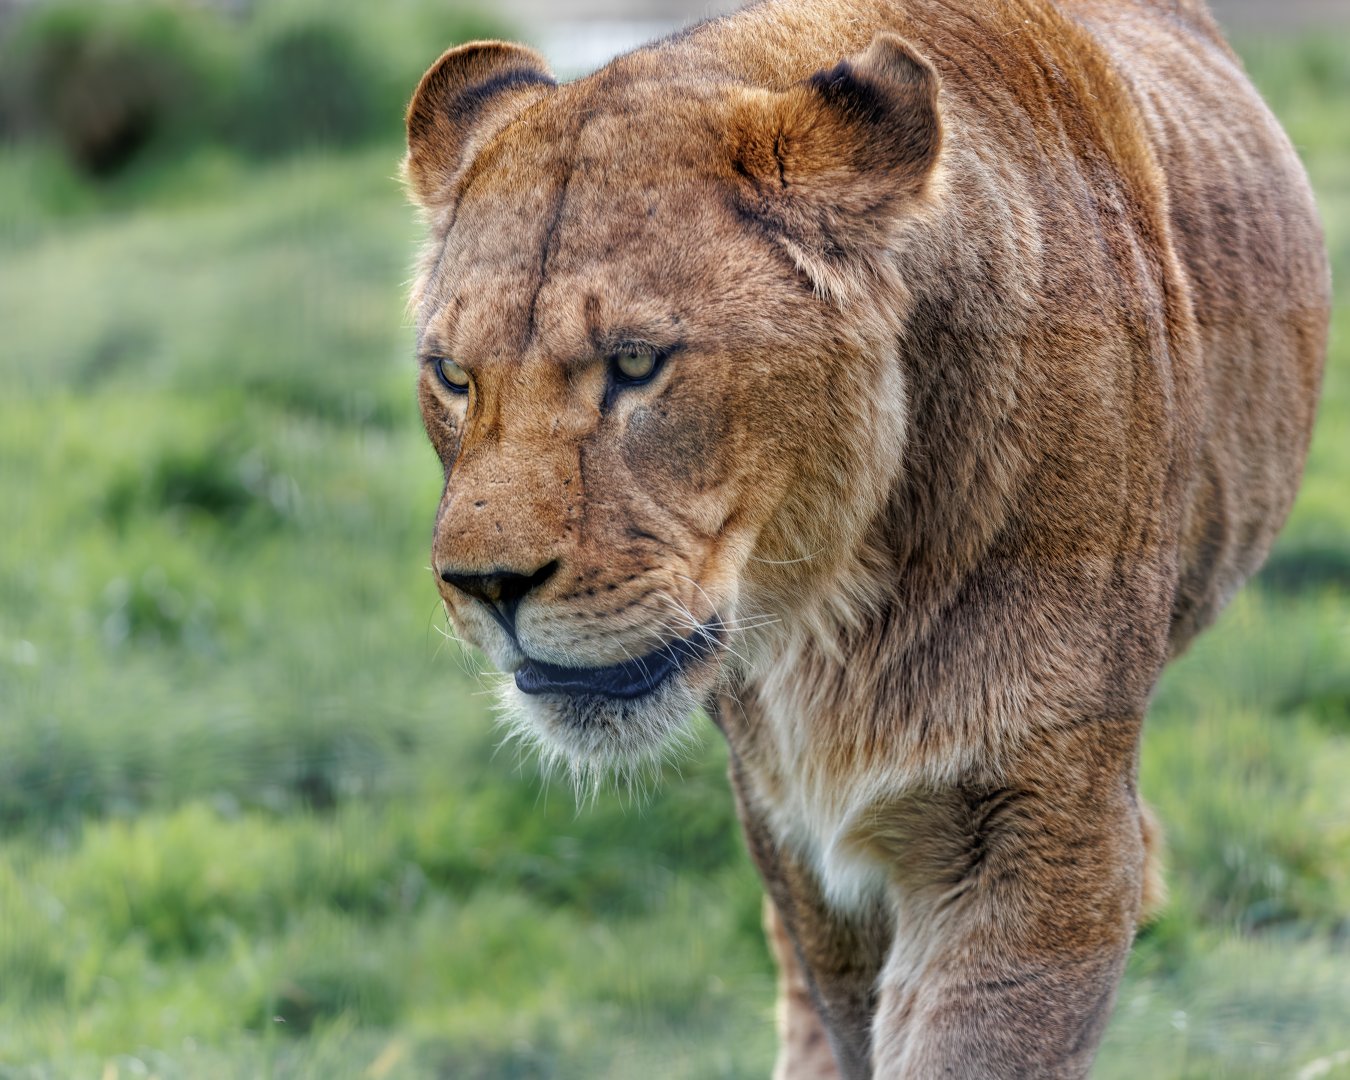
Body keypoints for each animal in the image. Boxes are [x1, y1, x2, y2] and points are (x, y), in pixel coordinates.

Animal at [402, 0, 1329, 1074]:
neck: (842, 606)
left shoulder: (1045, 823)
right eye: (452, 376)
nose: (483, 586)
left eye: (635, 363)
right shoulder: (792, 817)